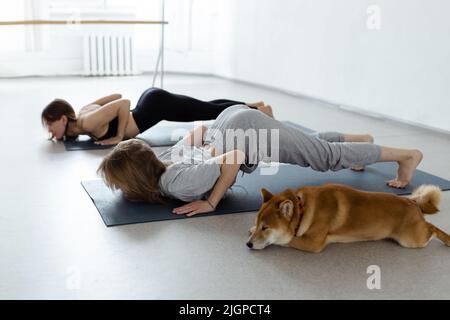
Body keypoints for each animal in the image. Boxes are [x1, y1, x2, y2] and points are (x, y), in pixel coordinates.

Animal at [248, 185, 448, 252]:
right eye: (258, 224)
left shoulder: (314, 243)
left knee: (432, 228)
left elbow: (287, 239)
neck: (303, 209)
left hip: (411, 240)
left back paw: (446, 239)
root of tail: (413, 203)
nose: (248, 244)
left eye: (266, 228)